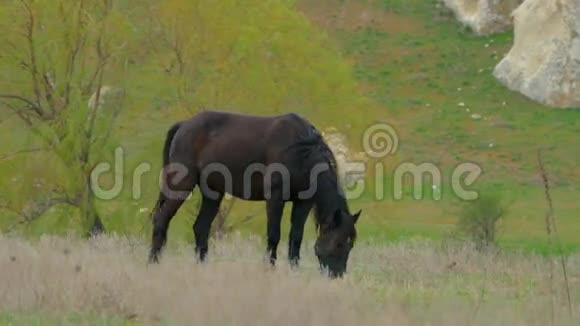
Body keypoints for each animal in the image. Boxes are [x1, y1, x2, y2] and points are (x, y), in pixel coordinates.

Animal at [147, 110, 360, 278]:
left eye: (350, 245)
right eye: (338, 243)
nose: (337, 275)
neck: (299, 150)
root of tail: (184, 125)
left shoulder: (303, 202)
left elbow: (296, 236)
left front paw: (293, 270)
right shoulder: (275, 198)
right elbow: (274, 235)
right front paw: (269, 269)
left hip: (213, 192)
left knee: (201, 227)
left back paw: (202, 266)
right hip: (182, 184)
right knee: (161, 219)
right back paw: (153, 262)